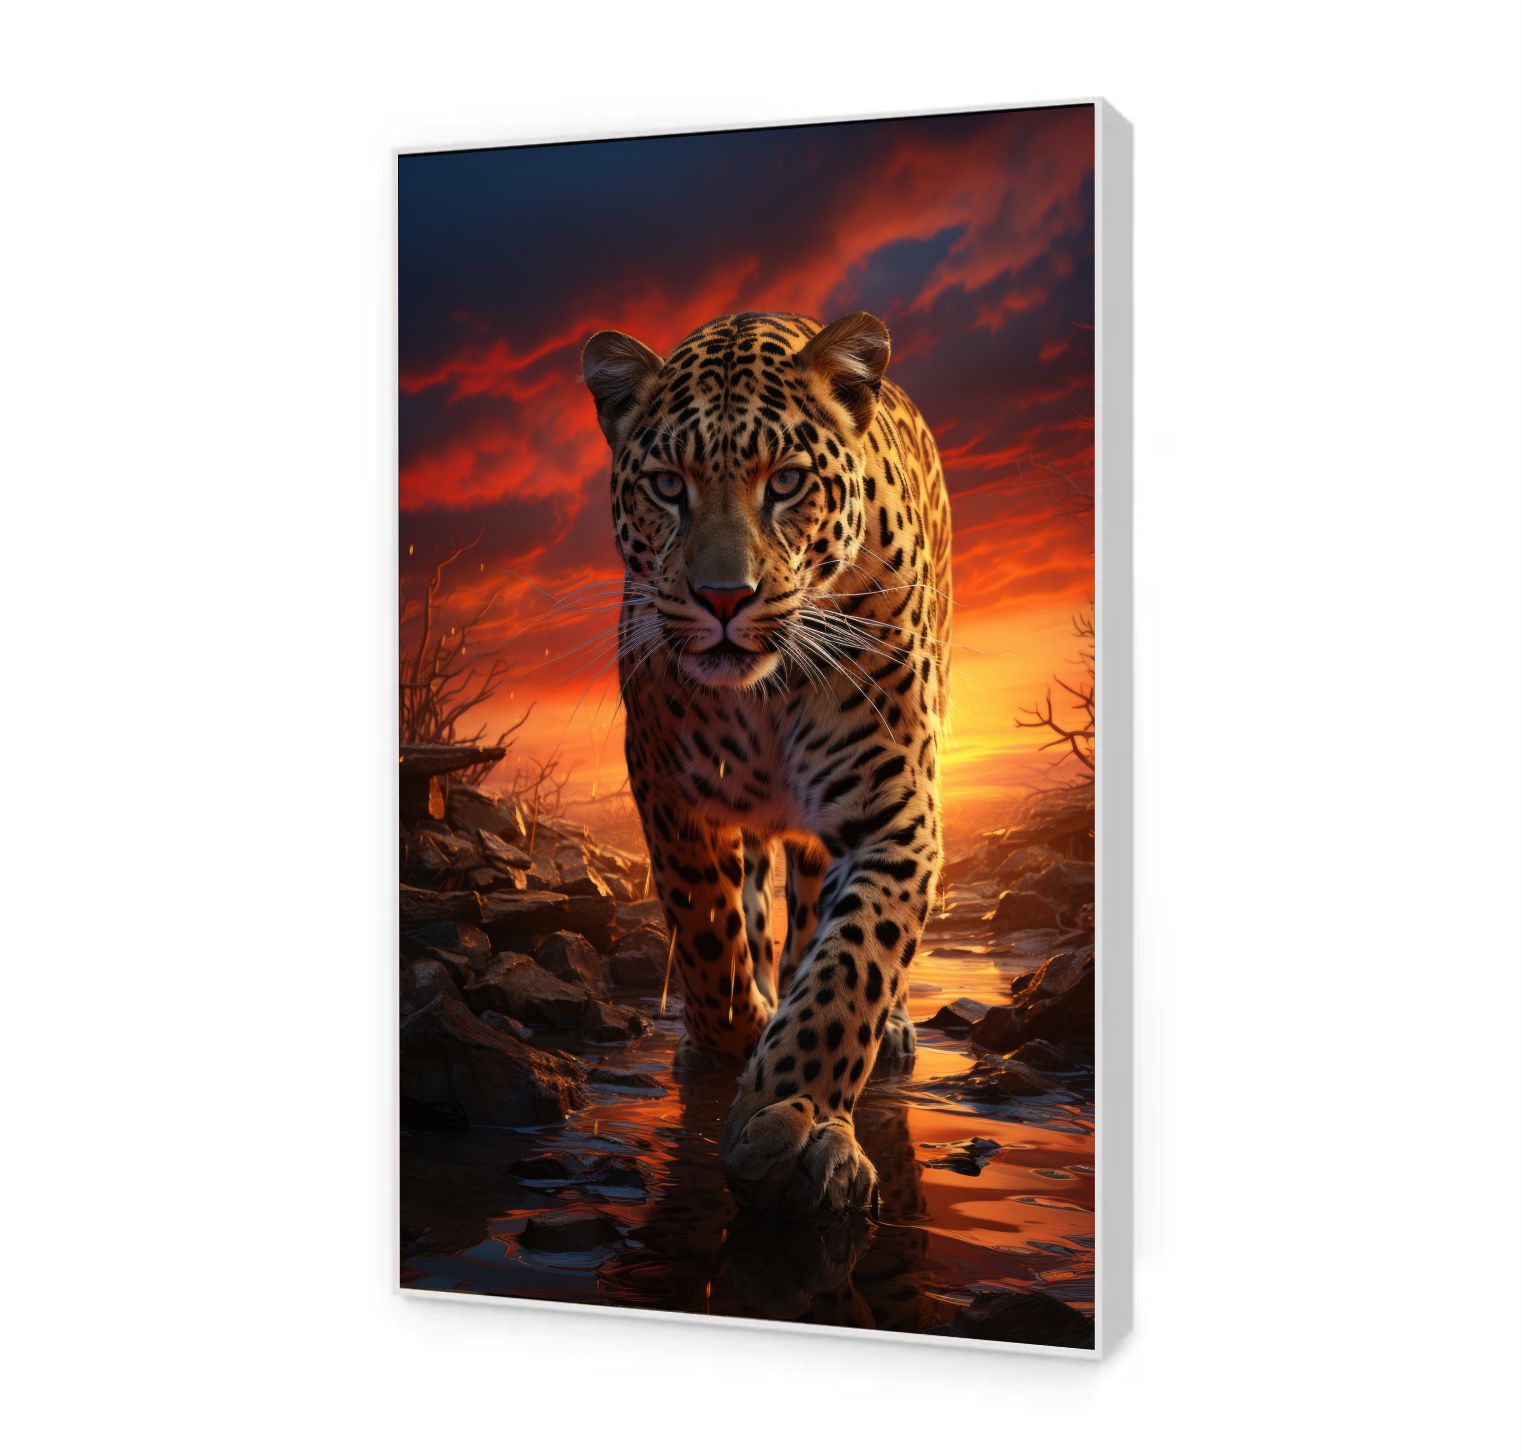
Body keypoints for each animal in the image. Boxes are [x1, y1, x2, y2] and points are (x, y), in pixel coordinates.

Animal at [580, 309, 952, 1220]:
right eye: (667, 485)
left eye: (785, 483)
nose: (724, 597)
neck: (768, 695)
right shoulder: (669, 787)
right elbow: (706, 930)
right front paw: (732, 1037)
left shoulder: (892, 810)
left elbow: (852, 964)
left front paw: (793, 1116)